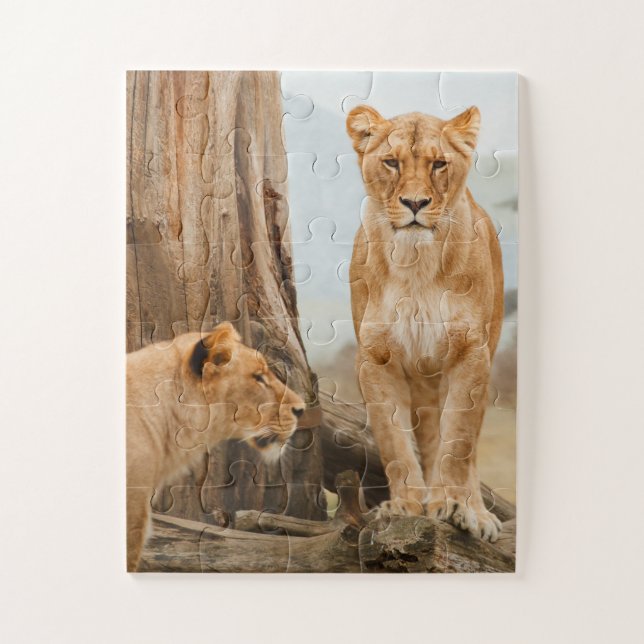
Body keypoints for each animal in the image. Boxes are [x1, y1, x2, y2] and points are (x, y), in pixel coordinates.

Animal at [346, 105, 504, 541]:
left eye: (438, 164)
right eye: (391, 162)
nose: (415, 202)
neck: (415, 264)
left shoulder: (471, 354)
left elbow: (458, 444)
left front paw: (454, 506)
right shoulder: (374, 359)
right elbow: (394, 444)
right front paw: (405, 505)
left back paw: (473, 511)